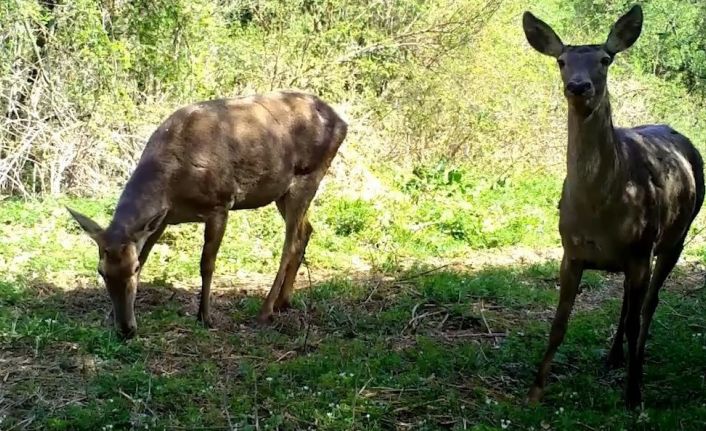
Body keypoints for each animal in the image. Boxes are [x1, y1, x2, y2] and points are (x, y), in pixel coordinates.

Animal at [67, 91, 348, 340]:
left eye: (132, 268)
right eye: (101, 271)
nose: (125, 330)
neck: (172, 186)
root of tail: (342, 122)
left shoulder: (220, 205)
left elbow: (206, 264)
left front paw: (205, 316)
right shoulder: (162, 220)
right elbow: (146, 254)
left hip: (309, 175)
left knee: (289, 243)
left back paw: (266, 310)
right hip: (282, 192)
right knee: (306, 230)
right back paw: (283, 301)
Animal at [520, 5, 700, 410]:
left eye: (605, 59)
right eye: (561, 60)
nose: (578, 86)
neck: (600, 210)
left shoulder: (641, 249)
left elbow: (636, 318)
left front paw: (633, 396)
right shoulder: (571, 251)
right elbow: (559, 323)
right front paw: (535, 390)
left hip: (675, 237)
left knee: (647, 306)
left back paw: (636, 361)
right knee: (628, 303)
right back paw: (614, 355)